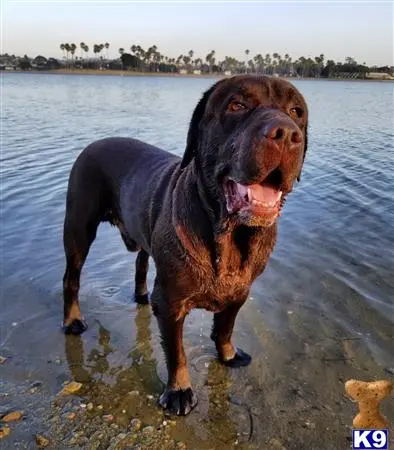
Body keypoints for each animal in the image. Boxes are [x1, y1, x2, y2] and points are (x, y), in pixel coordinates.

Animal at [62, 74, 308, 414]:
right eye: (237, 105)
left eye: (297, 112)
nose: (286, 133)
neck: (229, 239)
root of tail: (93, 144)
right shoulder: (170, 303)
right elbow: (176, 352)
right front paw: (179, 390)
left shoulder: (240, 293)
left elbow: (226, 327)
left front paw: (229, 354)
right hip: (78, 227)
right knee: (71, 278)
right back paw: (73, 320)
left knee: (140, 261)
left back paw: (141, 294)